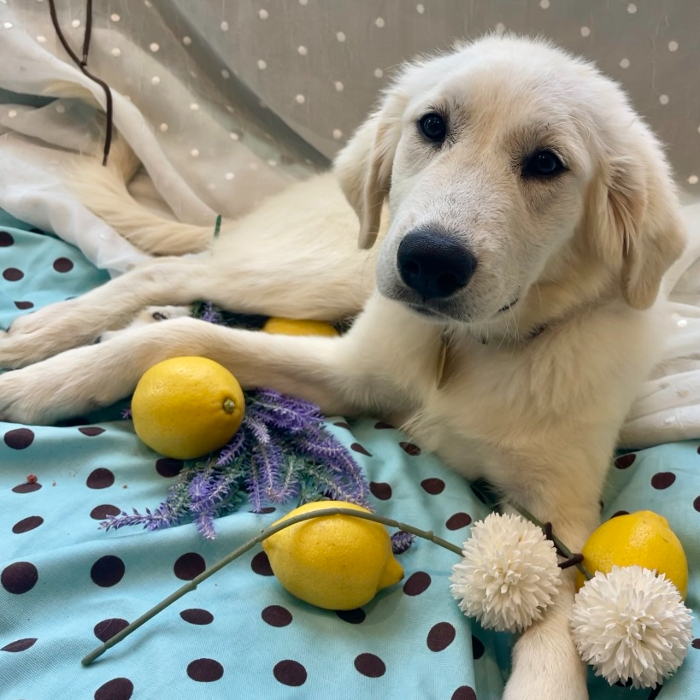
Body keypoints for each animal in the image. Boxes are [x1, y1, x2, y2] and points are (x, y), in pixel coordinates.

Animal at [0, 35, 684, 696]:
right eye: (432, 125)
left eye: (547, 163)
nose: (429, 261)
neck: (468, 347)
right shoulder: (355, 369)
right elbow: (190, 339)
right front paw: (44, 384)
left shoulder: (562, 509)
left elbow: (557, 626)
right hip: (325, 272)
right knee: (171, 271)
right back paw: (40, 335)